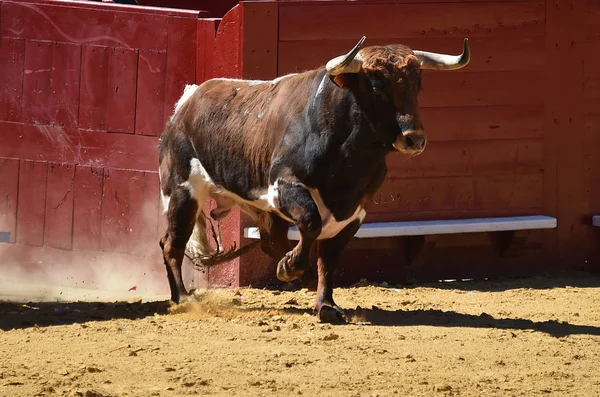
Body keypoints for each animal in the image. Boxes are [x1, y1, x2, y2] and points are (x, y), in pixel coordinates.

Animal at [157, 36, 472, 322]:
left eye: (417, 83)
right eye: (376, 86)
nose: (414, 139)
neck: (348, 159)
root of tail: (187, 101)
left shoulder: (354, 212)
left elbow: (328, 259)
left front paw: (326, 304)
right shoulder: (284, 187)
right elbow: (311, 222)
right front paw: (290, 268)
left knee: (269, 241)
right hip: (181, 192)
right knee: (172, 243)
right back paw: (183, 298)